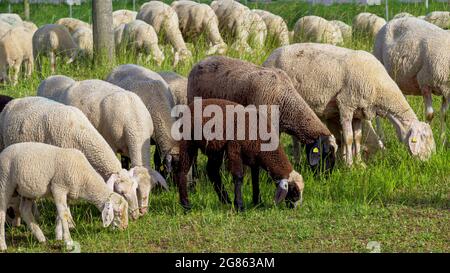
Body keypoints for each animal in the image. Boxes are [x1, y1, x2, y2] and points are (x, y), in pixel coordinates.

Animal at [0, 96, 141, 220]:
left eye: (135, 188)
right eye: (121, 192)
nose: (136, 215)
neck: (81, 133)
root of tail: (16, 101)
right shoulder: (63, 169)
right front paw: (68, 222)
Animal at [0, 141, 130, 250]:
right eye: (118, 212)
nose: (125, 228)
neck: (85, 178)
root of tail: (3, 152)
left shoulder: (67, 194)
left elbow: (62, 213)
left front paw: (59, 236)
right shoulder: (58, 188)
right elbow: (64, 215)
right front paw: (68, 242)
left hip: (28, 190)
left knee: (25, 210)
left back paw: (41, 238)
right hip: (4, 183)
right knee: (2, 214)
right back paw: (3, 245)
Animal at [36, 75, 169, 214]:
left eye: (151, 188)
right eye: (137, 188)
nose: (143, 211)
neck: (135, 121)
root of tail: (76, 83)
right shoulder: (112, 144)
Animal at [264, 42, 436, 164]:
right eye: (424, 138)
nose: (428, 163)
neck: (378, 87)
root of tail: (269, 57)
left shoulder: (360, 112)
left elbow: (357, 137)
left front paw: (359, 164)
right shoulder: (346, 104)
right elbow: (348, 138)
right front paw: (349, 165)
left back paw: (298, 161)